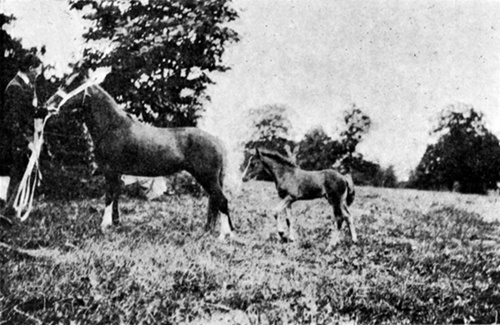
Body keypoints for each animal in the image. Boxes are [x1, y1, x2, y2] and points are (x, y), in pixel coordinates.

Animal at [44, 72, 234, 238]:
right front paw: (116, 223)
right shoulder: (116, 173)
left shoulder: (110, 171)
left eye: (71, 86)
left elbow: (109, 197)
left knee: (222, 200)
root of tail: (217, 141)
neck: (112, 126)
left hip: (207, 177)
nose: (47, 105)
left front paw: (104, 225)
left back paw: (225, 234)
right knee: (214, 201)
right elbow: (115, 197)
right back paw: (209, 229)